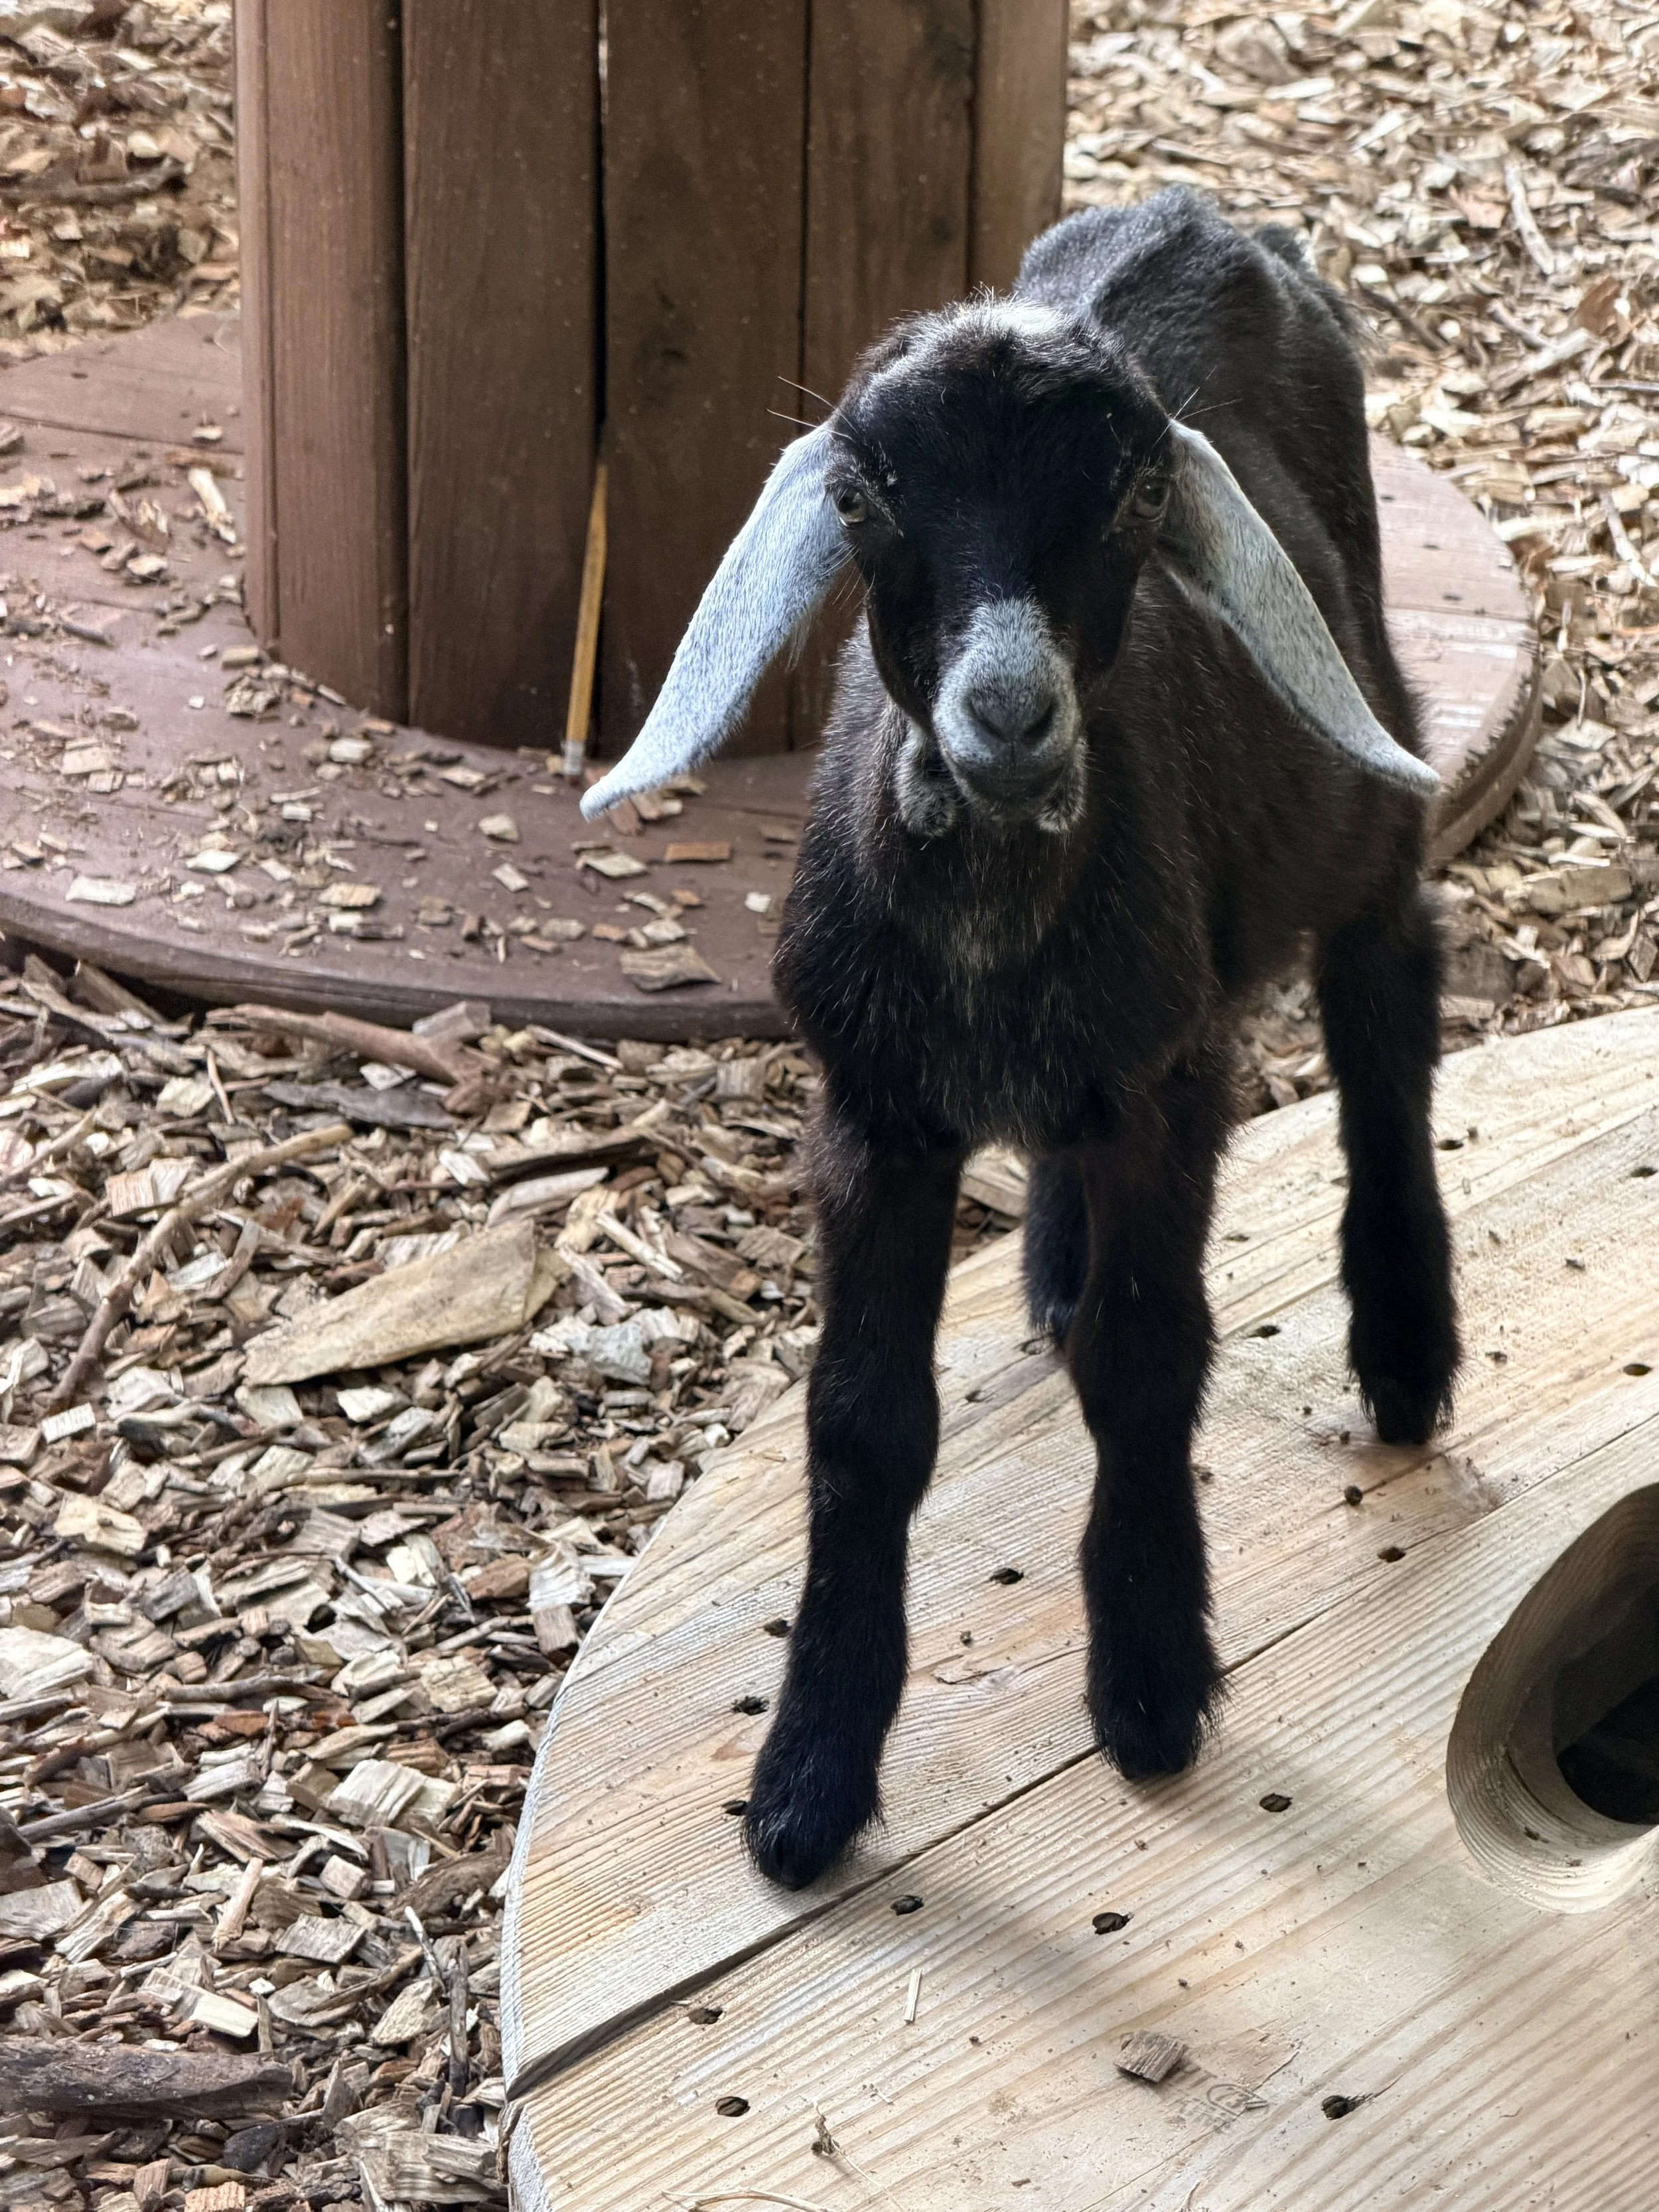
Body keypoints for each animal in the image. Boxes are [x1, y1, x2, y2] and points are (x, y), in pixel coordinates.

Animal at [581, 188, 1461, 1890]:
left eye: (1135, 489)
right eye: (859, 491)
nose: (1006, 717)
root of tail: (1201, 214)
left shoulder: (1169, 1089)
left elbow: (1148, 1358)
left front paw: (1150, 1682)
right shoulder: (871, 1112)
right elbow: (862, 1424)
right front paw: (805, 1783)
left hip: (1364, 786)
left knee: (1385, 1013)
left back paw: (1403, 1350)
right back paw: (1056, 1266)